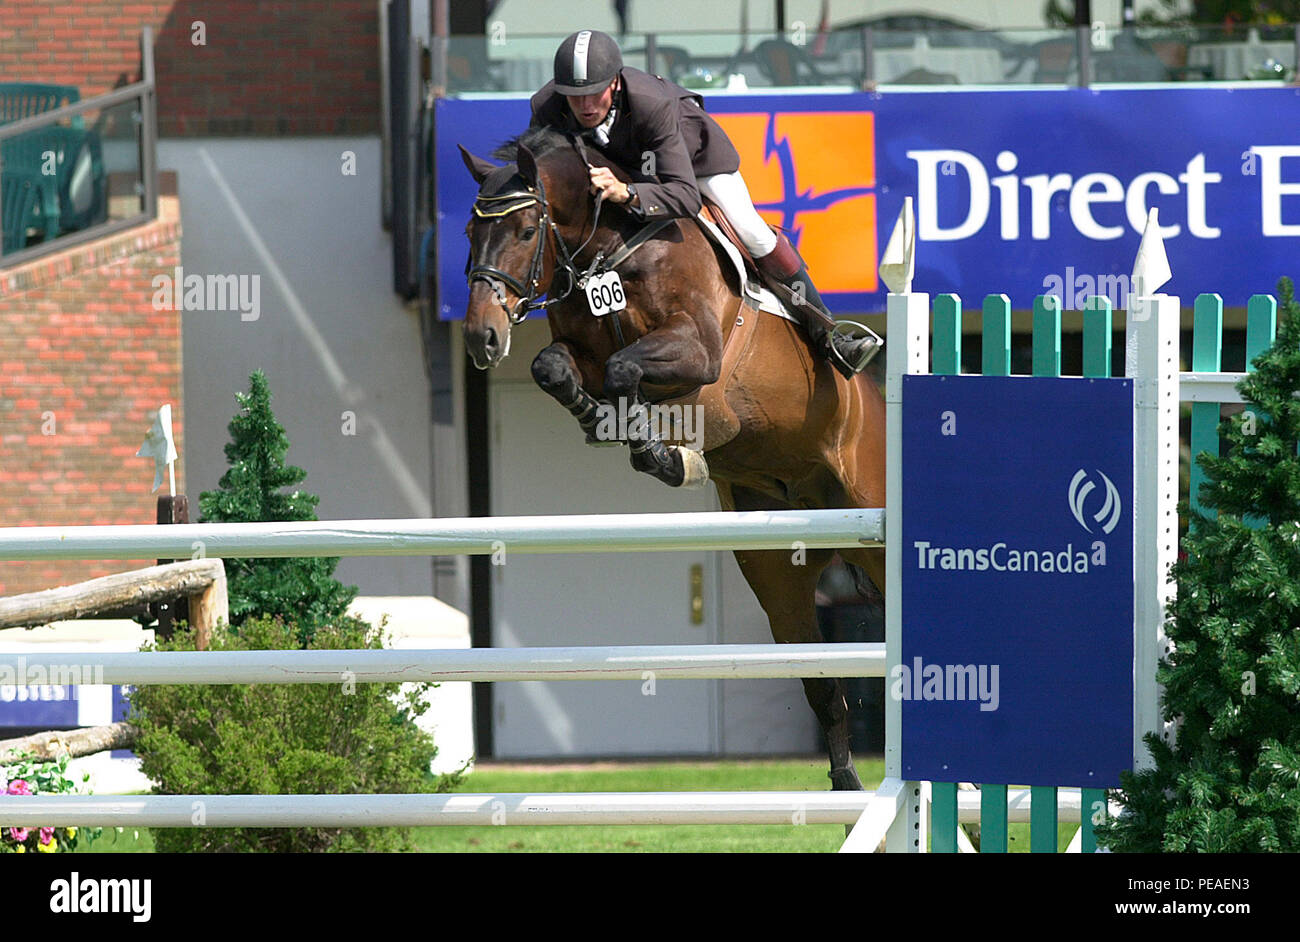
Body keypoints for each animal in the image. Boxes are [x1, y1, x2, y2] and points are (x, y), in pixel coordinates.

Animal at [457, 122, 883, 784]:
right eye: (470, 234)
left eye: (527, 231)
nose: (483, 337)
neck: (609, 246)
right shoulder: (579, 347)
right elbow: (556, 368)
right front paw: (614, 425)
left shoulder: (697, 354)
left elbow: (625, 367)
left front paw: (662, 453)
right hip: (779, 575)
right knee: (823, 689)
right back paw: (847, 791)